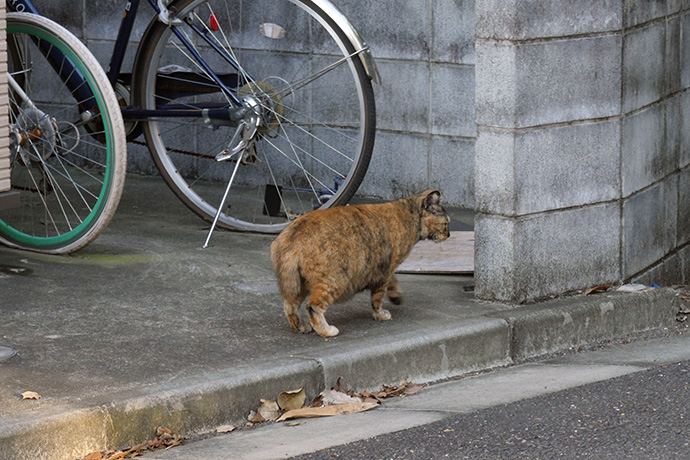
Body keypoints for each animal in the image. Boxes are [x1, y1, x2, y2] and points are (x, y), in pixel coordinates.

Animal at [268, 190, 452, 338]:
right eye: (446, 224)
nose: (449, 235)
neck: (409, 214)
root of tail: (292, 236)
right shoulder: (386, 270)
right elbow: (377, 298)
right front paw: (381, 314)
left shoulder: (383, 267)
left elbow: (392, 282)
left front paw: (396, 295)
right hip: (335, 281)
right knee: (312, 307)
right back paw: (327, 331)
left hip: (297, 284)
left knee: (290, 305)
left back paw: (300, 327)